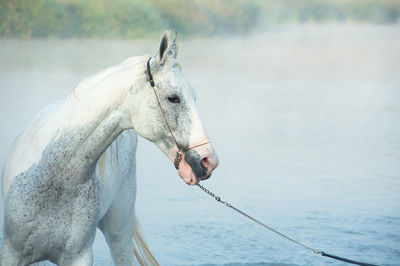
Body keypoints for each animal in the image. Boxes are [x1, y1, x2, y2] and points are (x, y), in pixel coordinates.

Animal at [0, 31, 219, 266]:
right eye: (173, 98)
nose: (209, 160)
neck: (57, 180)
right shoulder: (11, 253)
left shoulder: (79, 257)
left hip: (120, 232)